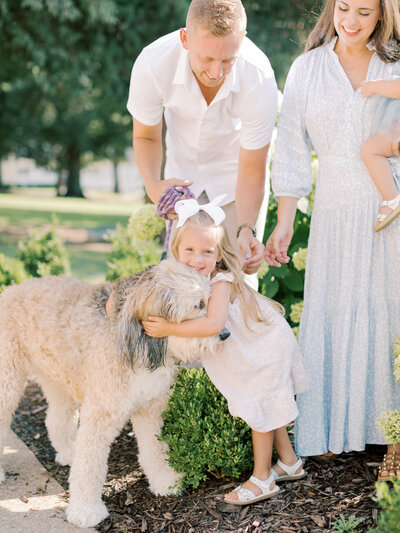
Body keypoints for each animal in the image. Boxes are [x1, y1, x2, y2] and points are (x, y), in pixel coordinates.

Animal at [0, 258, 222, 528]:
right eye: (198, 305)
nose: (225, 334)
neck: (139, 342)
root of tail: (11, 289)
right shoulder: (100, 414)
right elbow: (90, 466)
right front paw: (86, 511)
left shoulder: (151, 409)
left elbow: (156, 450)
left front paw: (166, 481)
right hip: (8, 380)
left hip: (59, 379)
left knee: (55, 420)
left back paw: (69, 452)